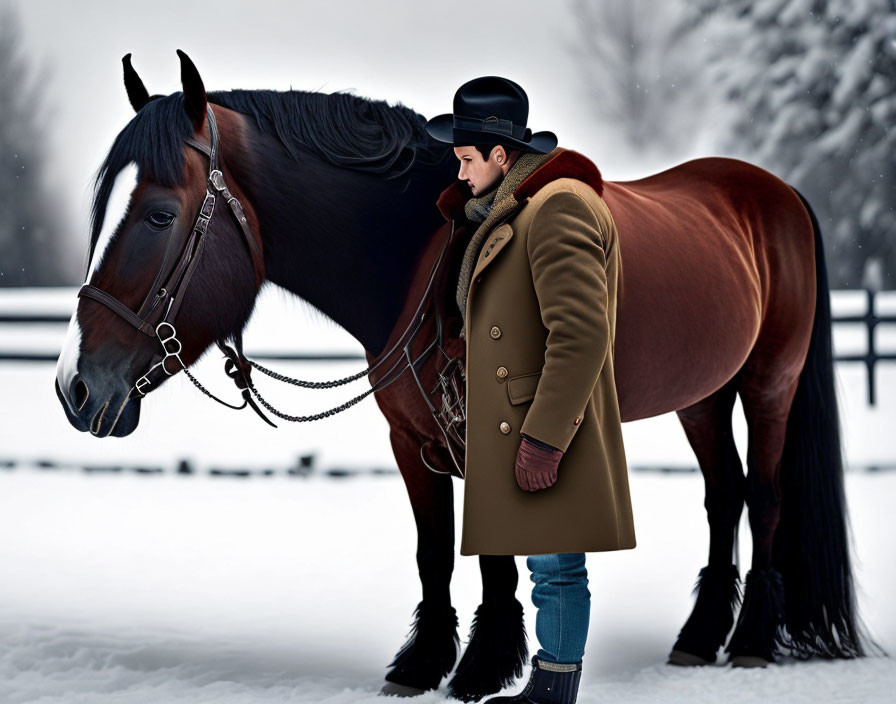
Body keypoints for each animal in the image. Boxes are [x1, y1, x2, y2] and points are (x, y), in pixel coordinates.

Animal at [52, 52, 880, 700]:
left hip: (768, 383)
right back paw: (699, 637)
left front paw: (483, 668)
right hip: (703, 397)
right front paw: (422, 666)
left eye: (160, 215)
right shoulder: (412, 440)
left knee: (764, 497)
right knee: (723, 496)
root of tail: (776, 194)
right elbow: (434, 551)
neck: (420, 256)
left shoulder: (487, 434)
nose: (75, 387)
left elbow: (492, 557)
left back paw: (752, 641)